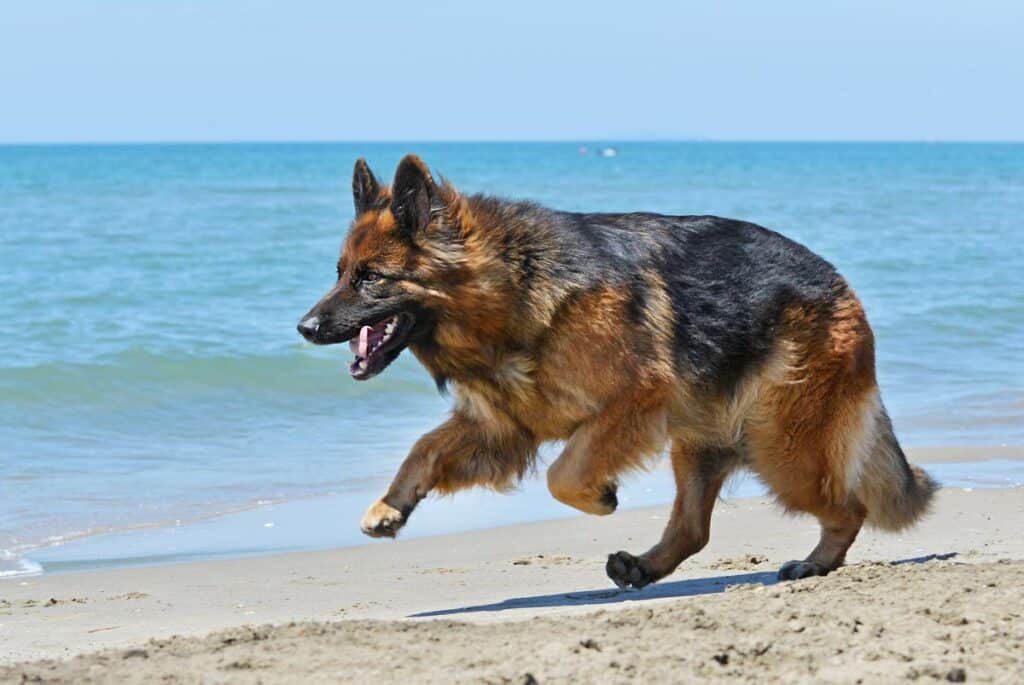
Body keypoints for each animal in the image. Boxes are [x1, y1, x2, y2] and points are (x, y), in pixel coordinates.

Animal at [296, 154, 937, 589]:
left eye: (371, 278)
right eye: (340, 271)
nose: (303, 327)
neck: (514, 290)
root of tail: (841, 284)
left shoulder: (633, 402)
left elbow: (564, 474)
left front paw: (599, 496)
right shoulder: (501, 428)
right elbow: (423, 449)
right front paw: (390, 505)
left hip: (781, 449)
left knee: (847, 508)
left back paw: (816, 563)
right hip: (701, 443)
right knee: (693, 528)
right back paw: (644, 567)